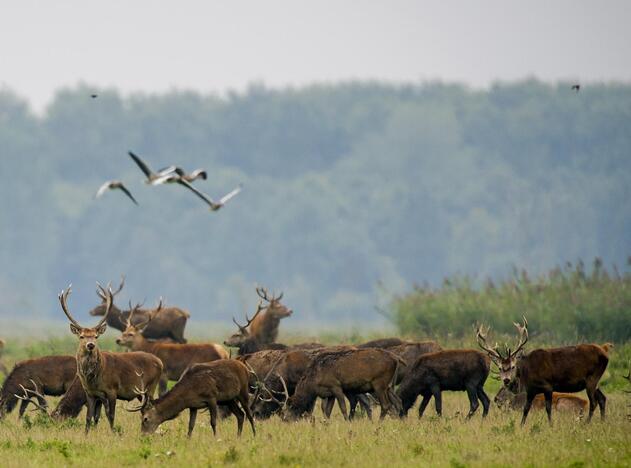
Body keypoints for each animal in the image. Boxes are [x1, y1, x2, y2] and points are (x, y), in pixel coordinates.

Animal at [59, 284, 164, 434]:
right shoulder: (91, 393)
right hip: (141, 393)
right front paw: (87, 434)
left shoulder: (112, 390)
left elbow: (111, 415)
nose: (90, 345)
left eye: (96, 336)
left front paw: (114, 433)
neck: (93, 378)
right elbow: (90, 417)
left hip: (151, 385)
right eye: (82, 336)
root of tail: (160, 362)